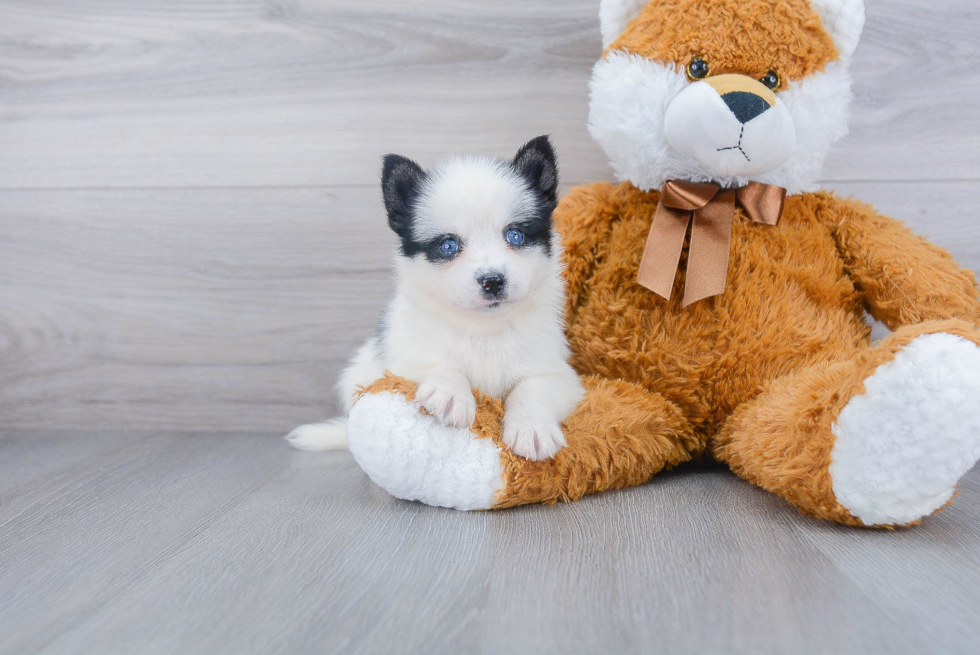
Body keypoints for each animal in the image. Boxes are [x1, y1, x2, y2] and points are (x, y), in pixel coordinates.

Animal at [288, 136, 584, 462]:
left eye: (515, 235)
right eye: (448, 245)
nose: (493, 281)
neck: (484, 330)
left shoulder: (557, 371)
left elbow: (534, 388)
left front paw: (532, 428)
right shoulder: (403, 360)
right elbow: (440, 366)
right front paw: (451, 394)